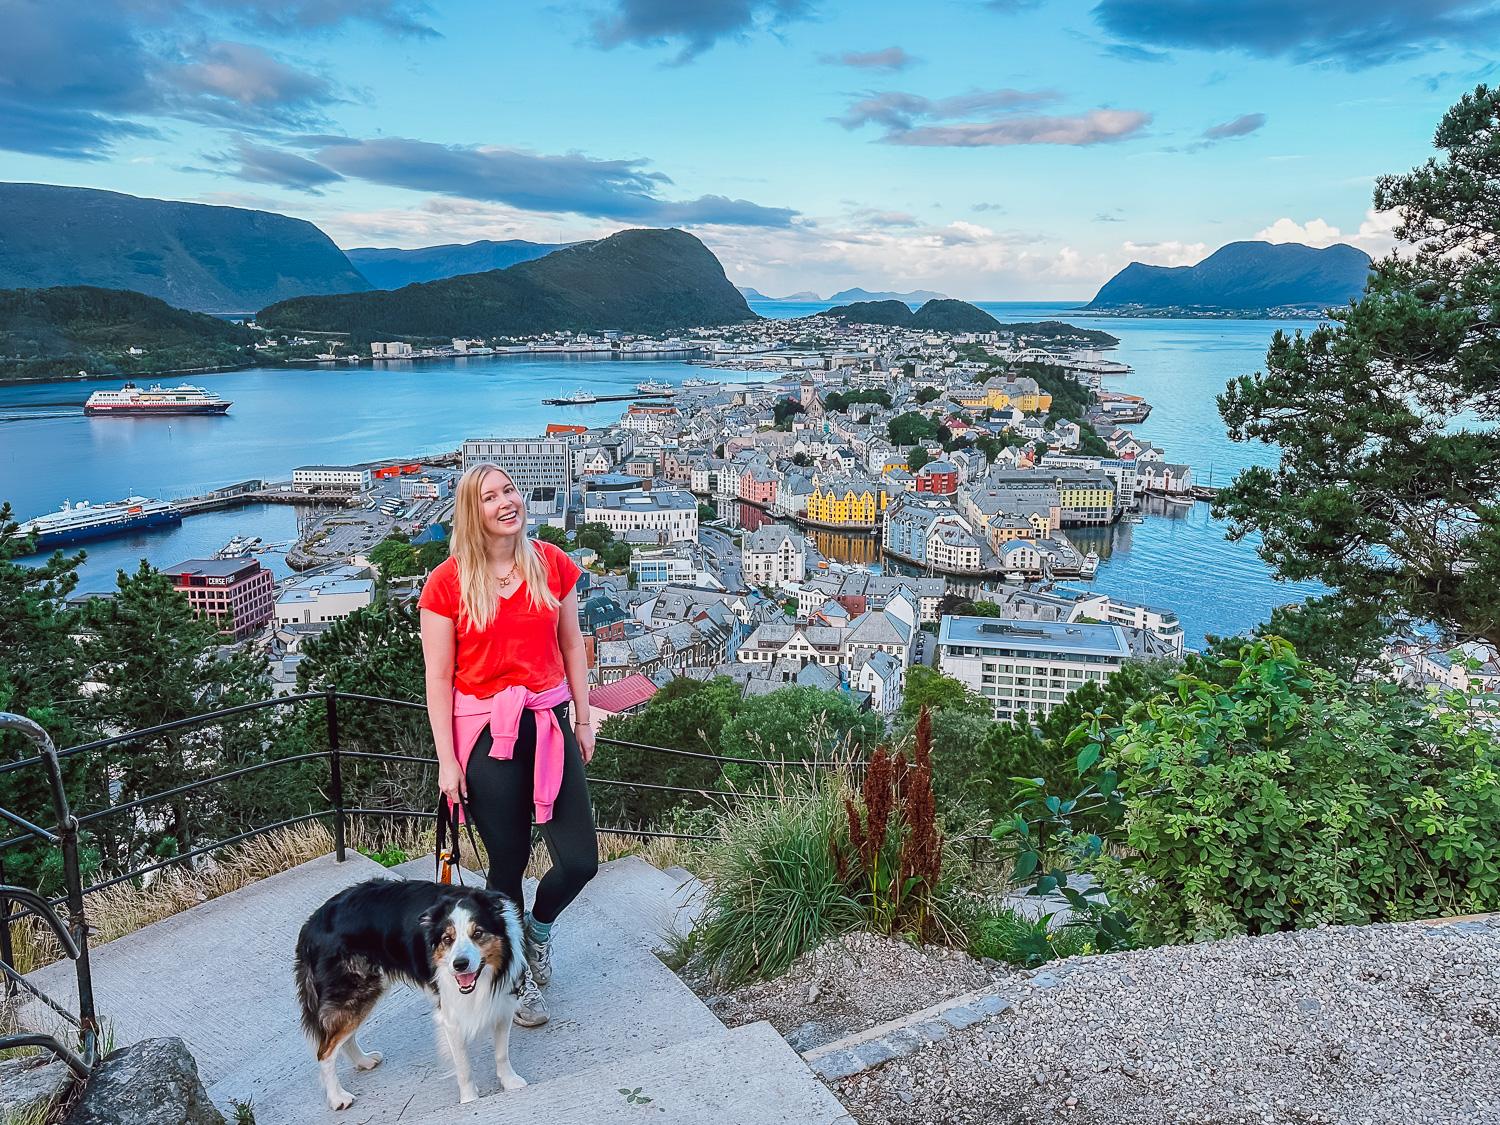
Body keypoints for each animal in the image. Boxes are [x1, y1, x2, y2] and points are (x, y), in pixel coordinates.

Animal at [292, 882, 528, 1110]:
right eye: (447, 939)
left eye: (478, 933)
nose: (459, 965)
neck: (485, 977)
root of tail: (310, 926)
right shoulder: (451, 1017)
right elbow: (464, 1067)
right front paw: (470, 1100)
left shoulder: (502, 1004)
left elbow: (501, 1053)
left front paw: (510, 1082)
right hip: (354, 993)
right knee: (325, 1052)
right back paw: (337, 1098)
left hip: (364, 993)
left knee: (344, 1038)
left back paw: (364, 1061)